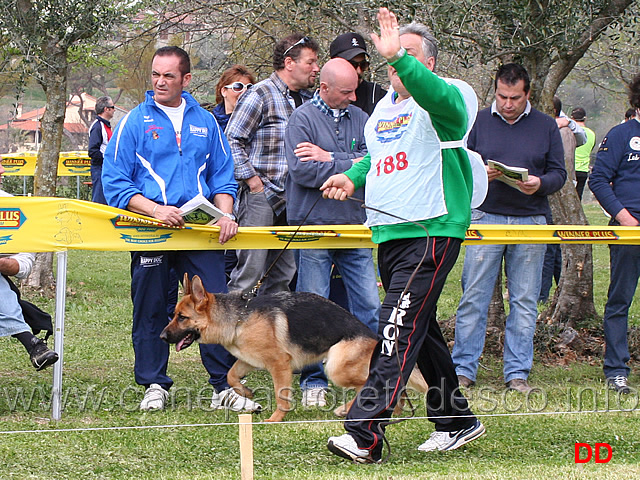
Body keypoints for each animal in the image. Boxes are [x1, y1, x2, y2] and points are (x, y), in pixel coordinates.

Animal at [159, 276, 424, 422]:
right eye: (174, 315)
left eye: (182, 318)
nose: (162, 337)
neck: (238, 318)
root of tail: (374, 336)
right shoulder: (249, 360)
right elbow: (231, 375)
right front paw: (245, 393)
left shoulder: (279, 364)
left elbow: (281, 396)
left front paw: (276, 418)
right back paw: (395, 410)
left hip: (336, 367)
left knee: (372, 385)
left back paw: (345, 409)